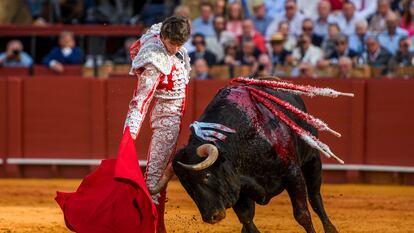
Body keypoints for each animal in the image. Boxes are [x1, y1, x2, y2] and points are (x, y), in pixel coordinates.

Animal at [171, 80, 340, 233]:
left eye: (206, 175)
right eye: (186, 185)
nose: (210, 217)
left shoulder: (293, 173)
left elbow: (302, 214)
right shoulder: (237, 185)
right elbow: (246, 218)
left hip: (313, 160)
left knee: (314, 197)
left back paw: (331, 228)